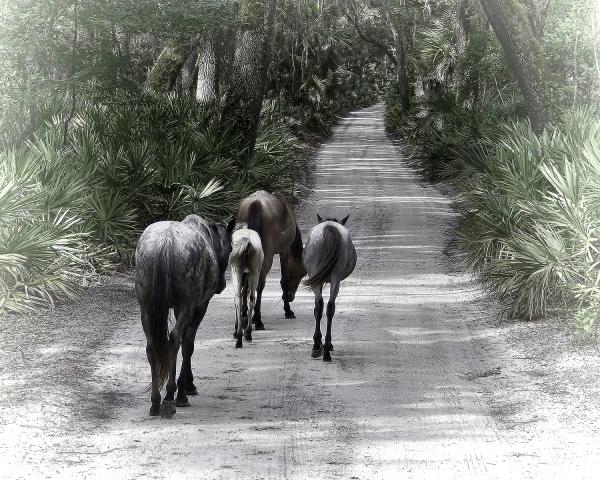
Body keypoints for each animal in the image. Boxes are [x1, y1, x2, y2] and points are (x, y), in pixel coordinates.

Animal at [135, 215, 233, 416]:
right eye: (231, 248)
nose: (221, 284)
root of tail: (165, 243)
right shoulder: (199, 306)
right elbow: (188, 345)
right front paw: (186, 388)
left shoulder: (176, 308)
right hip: (188, 306)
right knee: (174, 339)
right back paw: (170, 397)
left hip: (146, 309)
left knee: (152, 346)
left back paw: (155, 401)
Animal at [237, 190, 308, 330]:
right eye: (302, 273)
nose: (290, 297)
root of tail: (255, 204)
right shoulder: (285, 251)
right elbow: (283, 280)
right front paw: (288, 310)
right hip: (266, 256)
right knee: (259, 283)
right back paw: (258, 320)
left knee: (244, 282)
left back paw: (244, 316)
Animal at [304, 216, 356, 362]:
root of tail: (330, 228)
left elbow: (316, 308)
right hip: (335, 277)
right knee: (329, 306)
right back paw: (325, 349)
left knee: (320, 306)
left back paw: (319, 347)